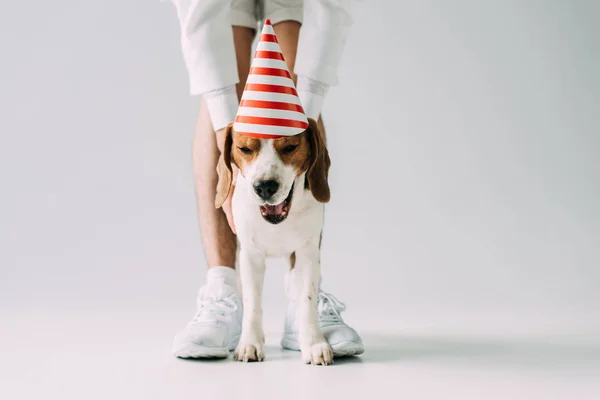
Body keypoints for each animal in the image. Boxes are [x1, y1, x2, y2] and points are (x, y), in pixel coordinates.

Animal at [216, 117, 336, 364]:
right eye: (245, 149)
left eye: (290, 147)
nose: (264, 186)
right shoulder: (250, 256)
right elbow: (252, 303)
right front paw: (250, 343)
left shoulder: (307, 252)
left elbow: (307, 298)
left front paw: (314, 343)